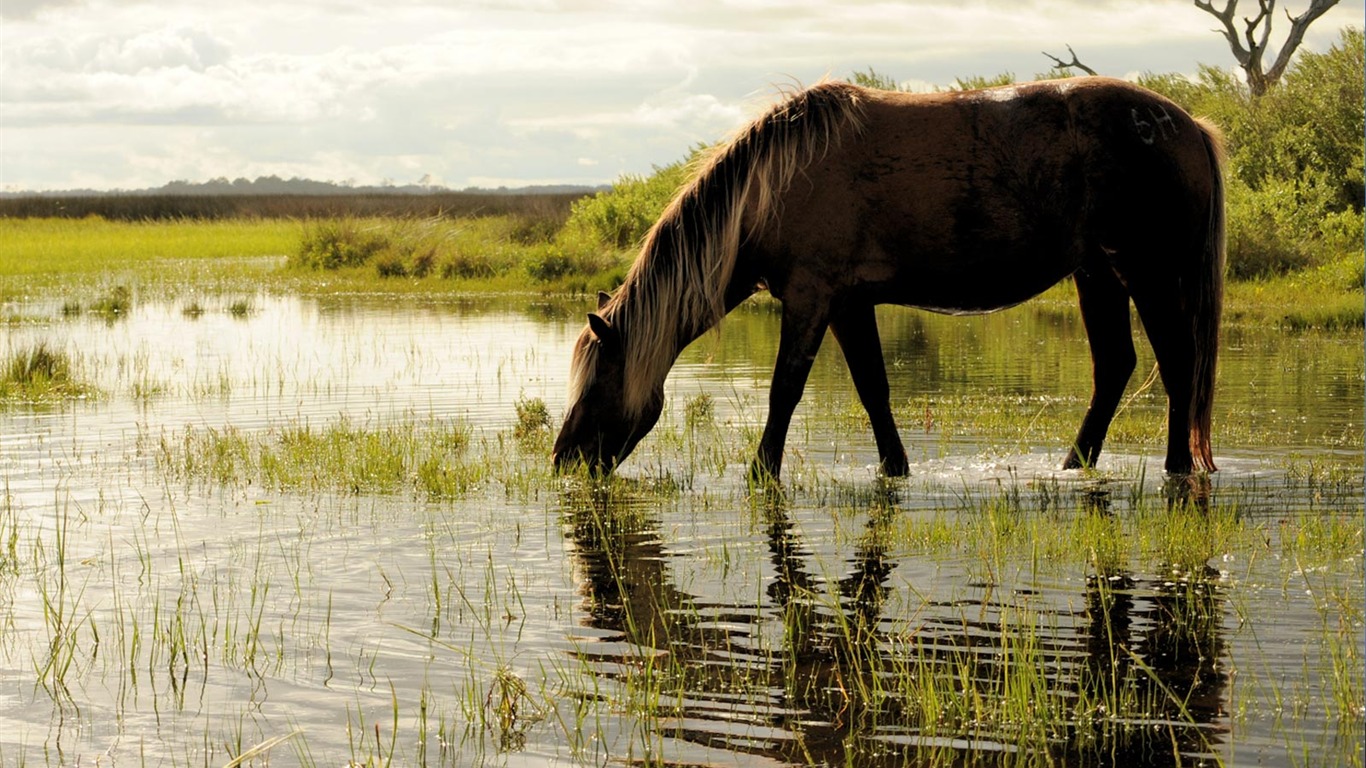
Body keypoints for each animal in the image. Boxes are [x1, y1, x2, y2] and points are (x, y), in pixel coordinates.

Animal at [551, 76, 1229, 478]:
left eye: (598, 381)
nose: (563, 459)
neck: (774, 185)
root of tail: (1189, 126)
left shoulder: (811, 299)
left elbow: (784, 391)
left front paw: (761, 473)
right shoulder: (850, 305)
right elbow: (873, 389)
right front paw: (893, 469)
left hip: (1146, 272)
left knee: (1177, 362)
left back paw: (1176, 468)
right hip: (1098, 274)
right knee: (1115, 366)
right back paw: (1074, 464)